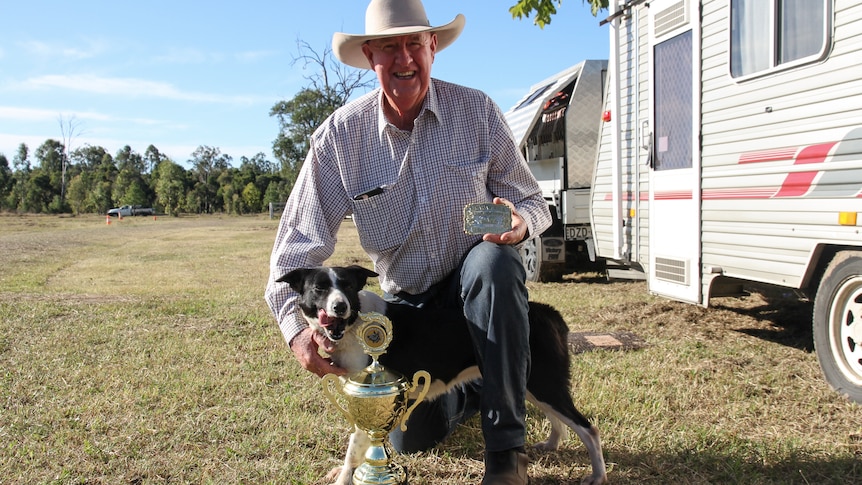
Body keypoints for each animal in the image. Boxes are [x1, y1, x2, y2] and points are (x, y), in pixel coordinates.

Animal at [276, 264, 608, 484]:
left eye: (346, 286)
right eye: (319, 288)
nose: (339, 306)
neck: (355, 322)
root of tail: (546, 311)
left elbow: (353, 449)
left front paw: (345, 477)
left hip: (543, 382)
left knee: (588, 429)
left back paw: (597, 475)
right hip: (532, 383)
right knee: (559, 419)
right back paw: (551, 444)